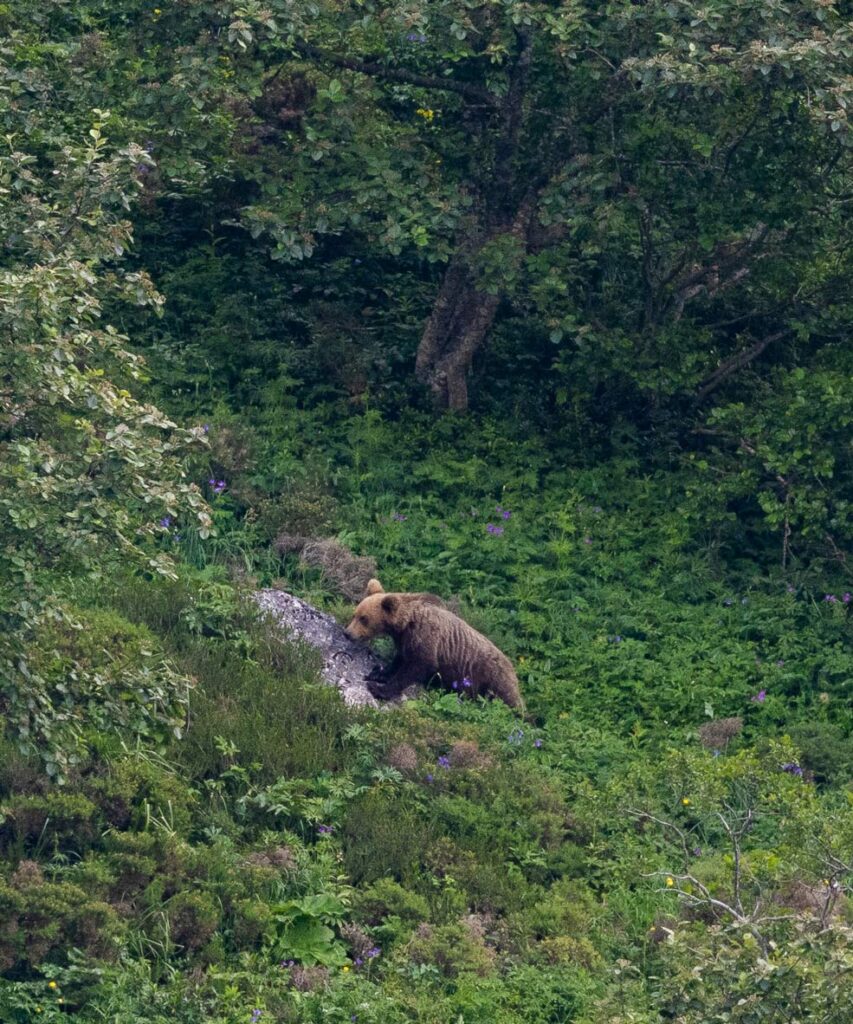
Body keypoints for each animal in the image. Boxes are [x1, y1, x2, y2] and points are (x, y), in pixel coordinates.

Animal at [344, 581, 520, 708]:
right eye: (355, 614)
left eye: (364, 618)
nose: (347, 633)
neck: (406, 623)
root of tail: (513, 668)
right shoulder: (405, 640)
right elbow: (399, 659)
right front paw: (379, 673)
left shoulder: (426, 637)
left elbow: (417, 667)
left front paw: (378, 689)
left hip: (492, 677)